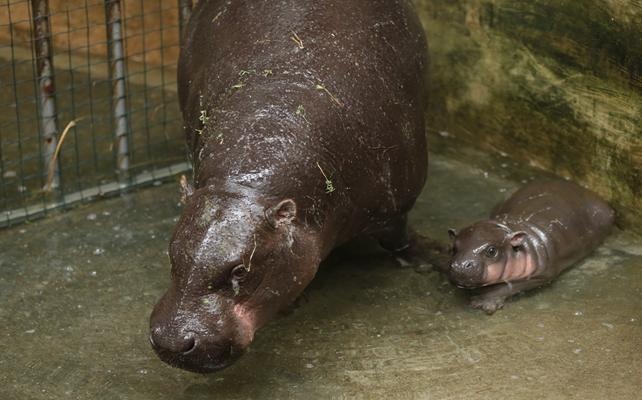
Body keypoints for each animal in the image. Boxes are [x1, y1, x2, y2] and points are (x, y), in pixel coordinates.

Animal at [149, 0, 428, 374]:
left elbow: (399, 238)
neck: (245, 188)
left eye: (241, 270)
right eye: (172, 255)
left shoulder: (396, 201)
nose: (173, 341)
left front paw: (425, 259)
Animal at [442, 180, 612, 314]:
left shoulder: (542, 274)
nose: (461, 265)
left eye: (491, 251)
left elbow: (510, 286)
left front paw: (484, 302)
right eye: (453, 248)